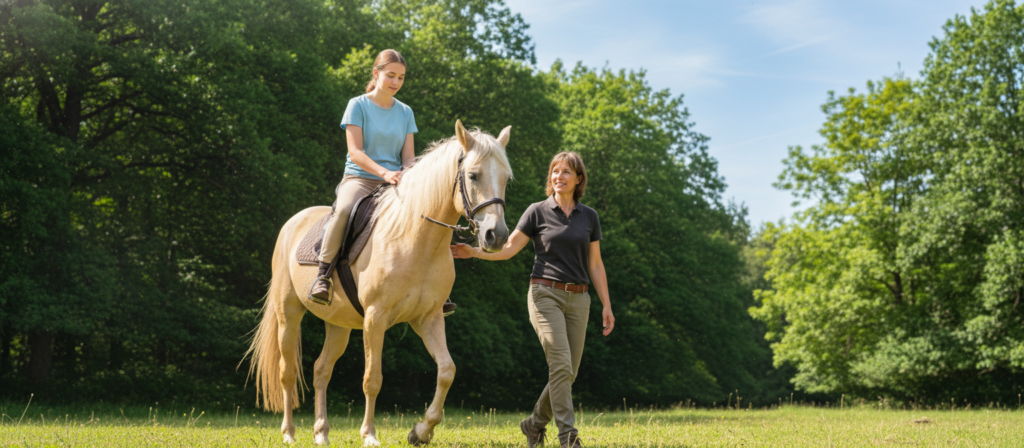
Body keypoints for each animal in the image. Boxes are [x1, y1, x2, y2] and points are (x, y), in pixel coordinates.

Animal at [242, 120, 512, 446]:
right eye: (473, 175)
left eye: (507, 179)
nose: (496, 236)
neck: (415, 239)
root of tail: (293, 222)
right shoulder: (375, 318)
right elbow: (372, 379)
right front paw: (369, 434)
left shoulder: (429, 318)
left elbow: (447, 370)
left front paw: (421, 431)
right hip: (288, 314)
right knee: (287, 373)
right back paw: (289, 433)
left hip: (339, 324)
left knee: (321, 370)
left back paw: (321, 433)